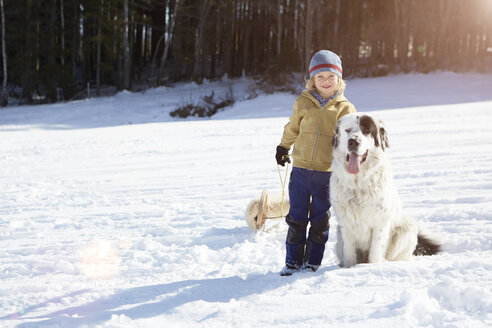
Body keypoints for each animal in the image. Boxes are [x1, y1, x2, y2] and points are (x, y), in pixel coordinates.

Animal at [328, 113, 440, 266]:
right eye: (348, 130)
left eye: (366, 131)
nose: (353, 142)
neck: (358, 183)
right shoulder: (345, 224)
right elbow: (349, 252)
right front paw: (349, 267)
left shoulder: (380, 221)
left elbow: (376, 249)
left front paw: (374, 265)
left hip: (406, 229)